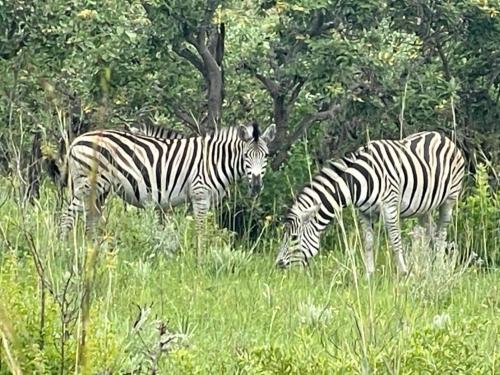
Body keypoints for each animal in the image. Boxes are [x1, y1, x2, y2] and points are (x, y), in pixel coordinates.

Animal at [54, 123, 278, 235]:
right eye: (246, 156)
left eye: (266, 156)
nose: (256, 186)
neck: (215, 159)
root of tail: (76, 140)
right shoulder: (199, 195)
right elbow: (200, 230)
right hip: (87, 185)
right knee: (67, 216)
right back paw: (64, 249)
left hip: (100, 189)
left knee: (90, 218)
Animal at [276, 132, 462, 276]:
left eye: (293, 237)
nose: (278, 264)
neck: (358, 183)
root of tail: (442, 136)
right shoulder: (364, 212)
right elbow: (368, 242)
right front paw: (369, 275)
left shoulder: (390, 205)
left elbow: (395, 240)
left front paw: (403, 273)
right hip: (424, 207)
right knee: (428, 235)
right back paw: (425, 267)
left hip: (449, 199)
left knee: (441, 234)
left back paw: (438, 269)